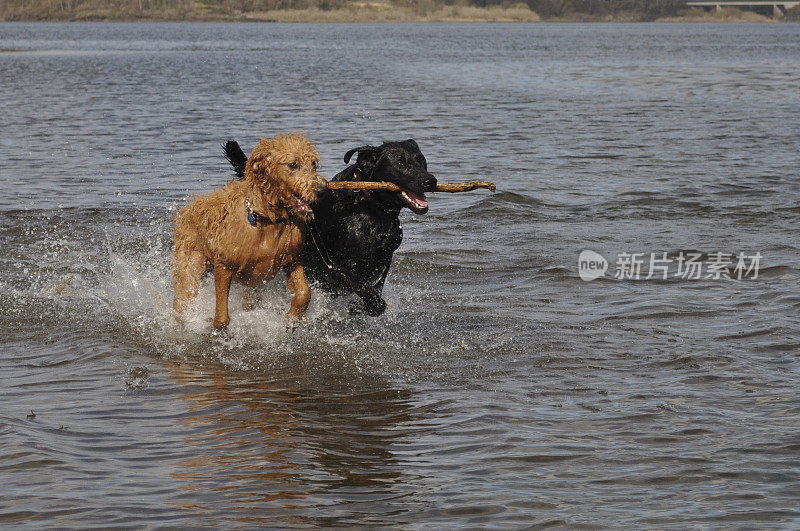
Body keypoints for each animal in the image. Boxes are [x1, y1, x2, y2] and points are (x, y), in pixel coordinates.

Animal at [173, 132, 326, 328]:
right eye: (293, 164)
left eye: (314, 163)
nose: (323, 190)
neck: (268, 219)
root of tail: (188, 209)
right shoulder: (224, 265)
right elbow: (221, 317)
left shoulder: (292, 258)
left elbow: (304, 293)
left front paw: (292, 318)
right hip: (191, 262)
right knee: (185, 294)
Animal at [225, 140, 438, 316]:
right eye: (400, 164)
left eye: (421, 160)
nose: (430, 181)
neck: (369, 207)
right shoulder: (330, 264)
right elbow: (360, 287)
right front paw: (363, 304)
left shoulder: (384, 257)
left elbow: (375, 290)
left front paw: (360, 307)